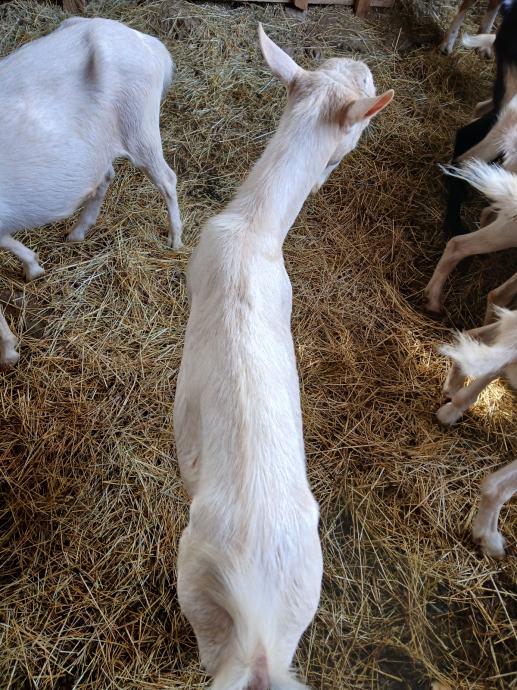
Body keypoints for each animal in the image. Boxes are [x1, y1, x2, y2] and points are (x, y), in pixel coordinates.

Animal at [0, 17, 182, 369]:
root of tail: (150, 45)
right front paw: (33, 266)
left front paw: (9, 351)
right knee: (105, 175)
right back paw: (79, 231)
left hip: (140, 127)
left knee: (167, 179)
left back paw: (175, 239)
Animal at [173, 24, 393, 690]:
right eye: (340, 72)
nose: (362, 62)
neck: (255, 226)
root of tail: (258, 624)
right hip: (300, 603)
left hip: (198, 594)